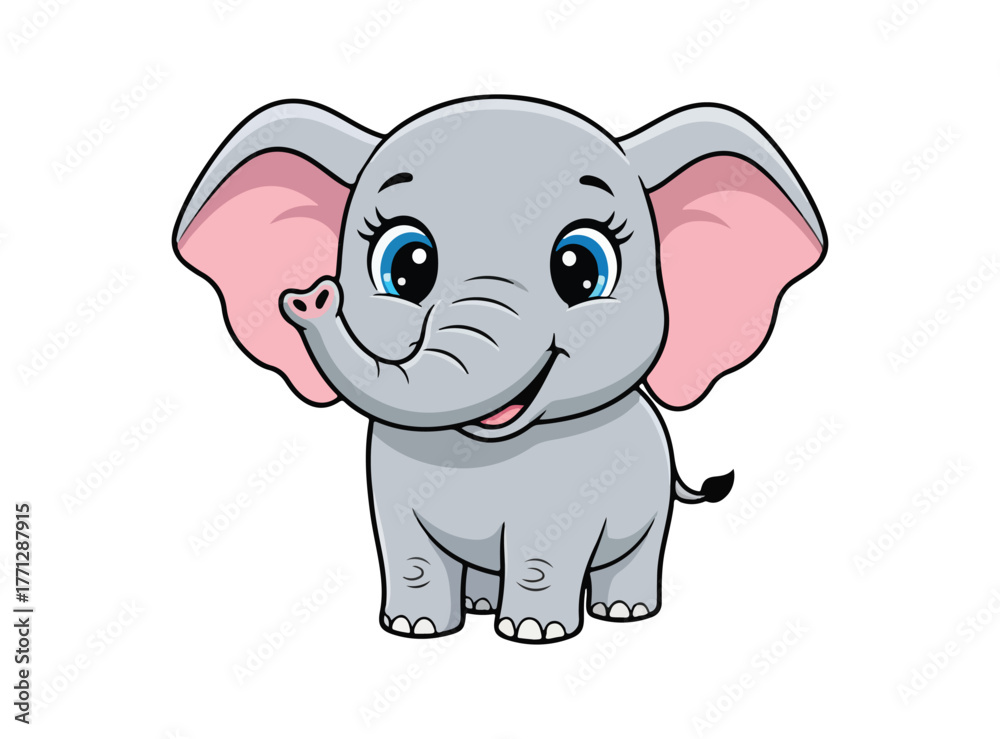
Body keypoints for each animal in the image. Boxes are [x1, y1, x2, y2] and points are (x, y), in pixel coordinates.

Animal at [172, 96, 826, 643]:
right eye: (406, 266)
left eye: (581, 268)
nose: (310, 297)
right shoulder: (387, 469)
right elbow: (407, 549)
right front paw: (414, 629)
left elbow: (545, 551)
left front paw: (534, 634)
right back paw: (482, 606)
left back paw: (624, 613)